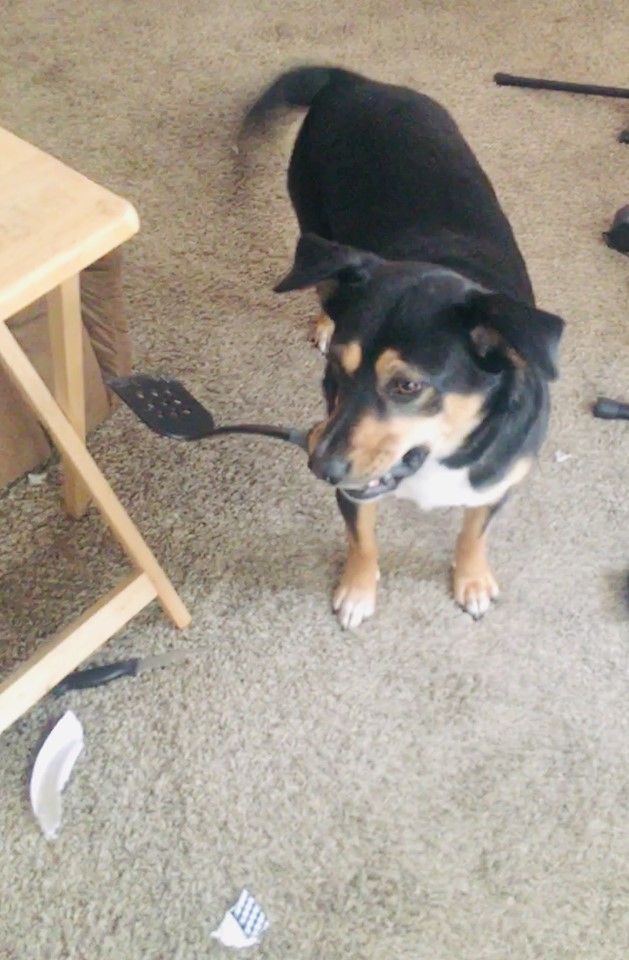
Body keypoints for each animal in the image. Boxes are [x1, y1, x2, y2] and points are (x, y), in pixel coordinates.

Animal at [240, 65, 565, 629]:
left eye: (408, 386)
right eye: (335, 373)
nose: (320, 466)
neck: (441, 456)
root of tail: (357, 82)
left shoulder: (498, 483)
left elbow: (473, 533)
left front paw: (472, 580)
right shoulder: (355, 488)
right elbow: (363, 539)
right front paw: (357, 590)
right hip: (312, 218)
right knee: (323, 278)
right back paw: (325, 316)